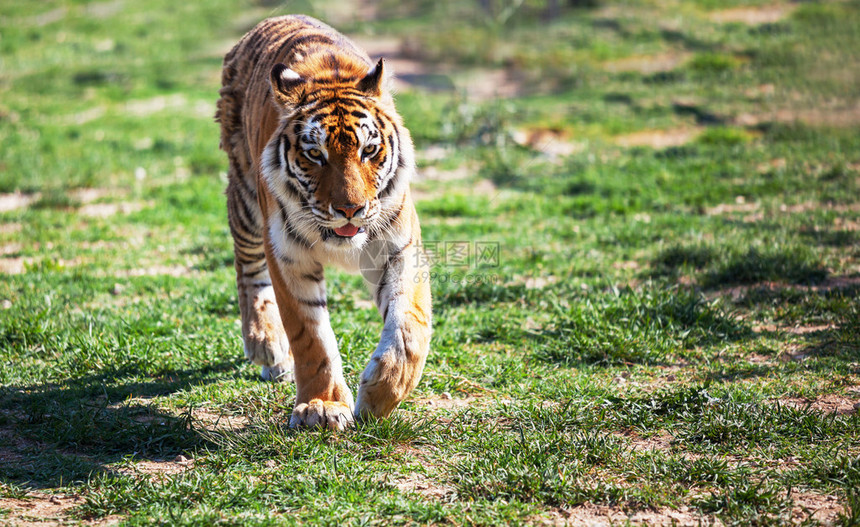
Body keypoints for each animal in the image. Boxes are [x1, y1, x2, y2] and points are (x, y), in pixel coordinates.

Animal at [215, 15, 430, 434]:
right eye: (315, 155)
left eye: (369, 150)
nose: (351, 209)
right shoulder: (289, 256)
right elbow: (310, 336)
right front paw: (322, 407)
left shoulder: (399, 250)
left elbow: (409, 328)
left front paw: (379, 394)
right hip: (246, 198)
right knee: (247, 267)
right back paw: (266, 344)